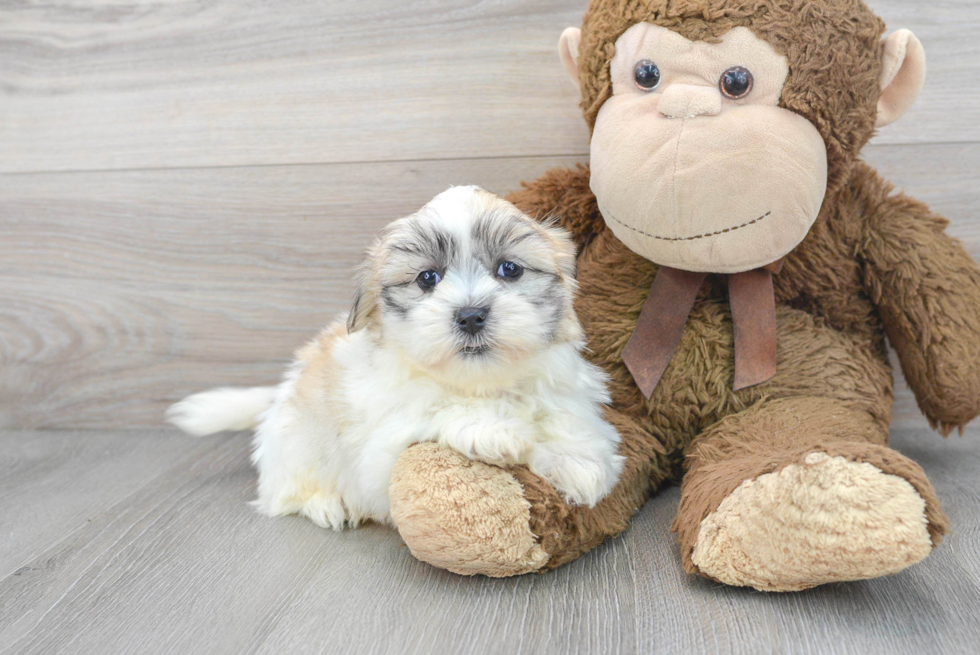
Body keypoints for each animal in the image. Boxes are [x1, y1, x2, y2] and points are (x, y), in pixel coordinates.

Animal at [168, 183, 624, 528]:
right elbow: (434, 412)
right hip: (294, 450)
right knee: (284, 495)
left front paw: (579, 462)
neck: (483, 384)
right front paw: (491, 430)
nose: (471, 314)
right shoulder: (383, 449)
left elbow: (567, 421)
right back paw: (327, 505)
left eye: (509, 270)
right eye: (427, 278)